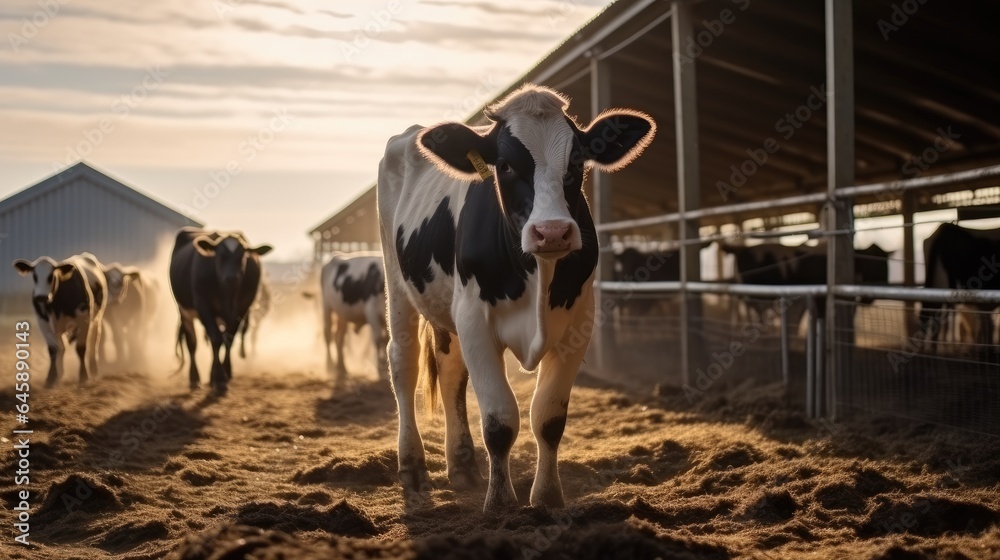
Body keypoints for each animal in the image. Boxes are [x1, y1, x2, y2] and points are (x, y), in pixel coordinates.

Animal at [12, 253, 107, 384]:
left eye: (51, 276)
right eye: (35, 276)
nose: (41, 297)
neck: (56, 307)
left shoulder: (83, 322)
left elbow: (81, 349)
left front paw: (83, 376)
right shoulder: (44, 323)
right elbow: (52, 350)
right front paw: (51, 378)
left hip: (97, 320)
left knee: (94, 343)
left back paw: (94, 371)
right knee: (62, 348)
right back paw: (60, 374)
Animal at [168, 228, 272, 394]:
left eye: (242, 256)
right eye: (220, 256)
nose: (231, 277)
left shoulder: (241, 309)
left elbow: (228, 339)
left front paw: (225, 374)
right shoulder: (203, 306)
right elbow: (216, 339)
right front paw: (219, 379)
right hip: (184, 311)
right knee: (192, 343)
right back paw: (194, 378)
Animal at [376, 84, 656, 512]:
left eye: (577, 160)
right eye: (504, 165)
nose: (552, 231)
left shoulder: (578, 325)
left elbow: (549, 418)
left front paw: (547, 497)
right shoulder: (475, 320)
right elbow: (499, 420)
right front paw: (500, 503)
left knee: (450, 370)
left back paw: (462, 466)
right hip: (398, 284)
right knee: (403, 363)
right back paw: (412, 466)